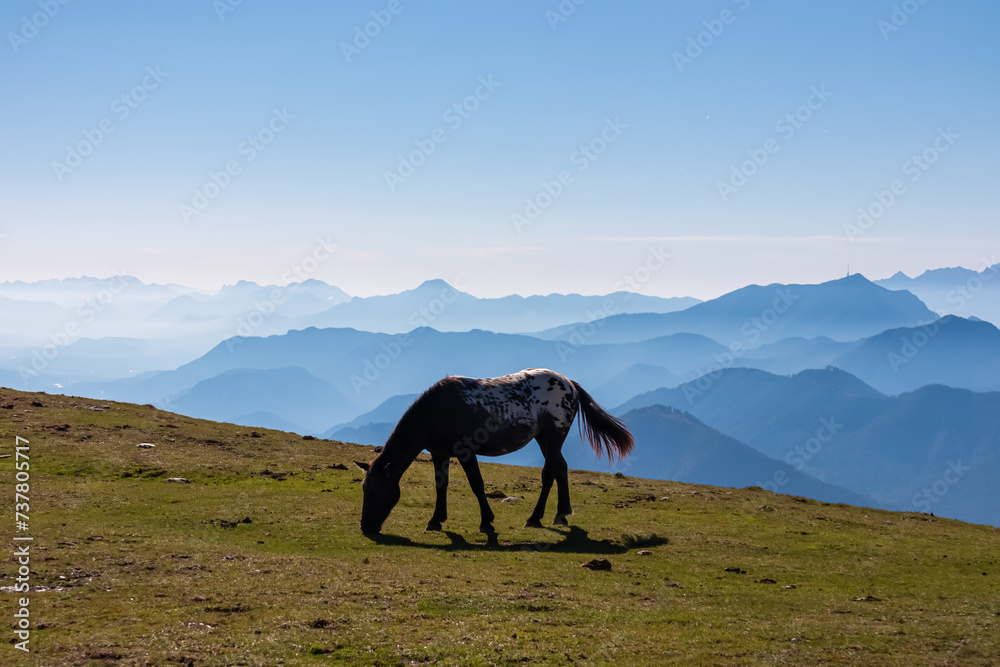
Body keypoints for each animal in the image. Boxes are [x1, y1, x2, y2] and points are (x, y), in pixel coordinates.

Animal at [354, 368, 633, 535]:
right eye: (364, 490)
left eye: (377, 491)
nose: (366, 527)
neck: (436, 411)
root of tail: (569, 384)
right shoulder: (439, 454)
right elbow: (440, 485)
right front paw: (435, 520)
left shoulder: (465, 452)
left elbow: (477, 484)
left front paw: (486, 521)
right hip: (543, 438)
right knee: (561, 468)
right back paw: (560, 513)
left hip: (554, 436)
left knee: (550, 473)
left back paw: (535, 517)